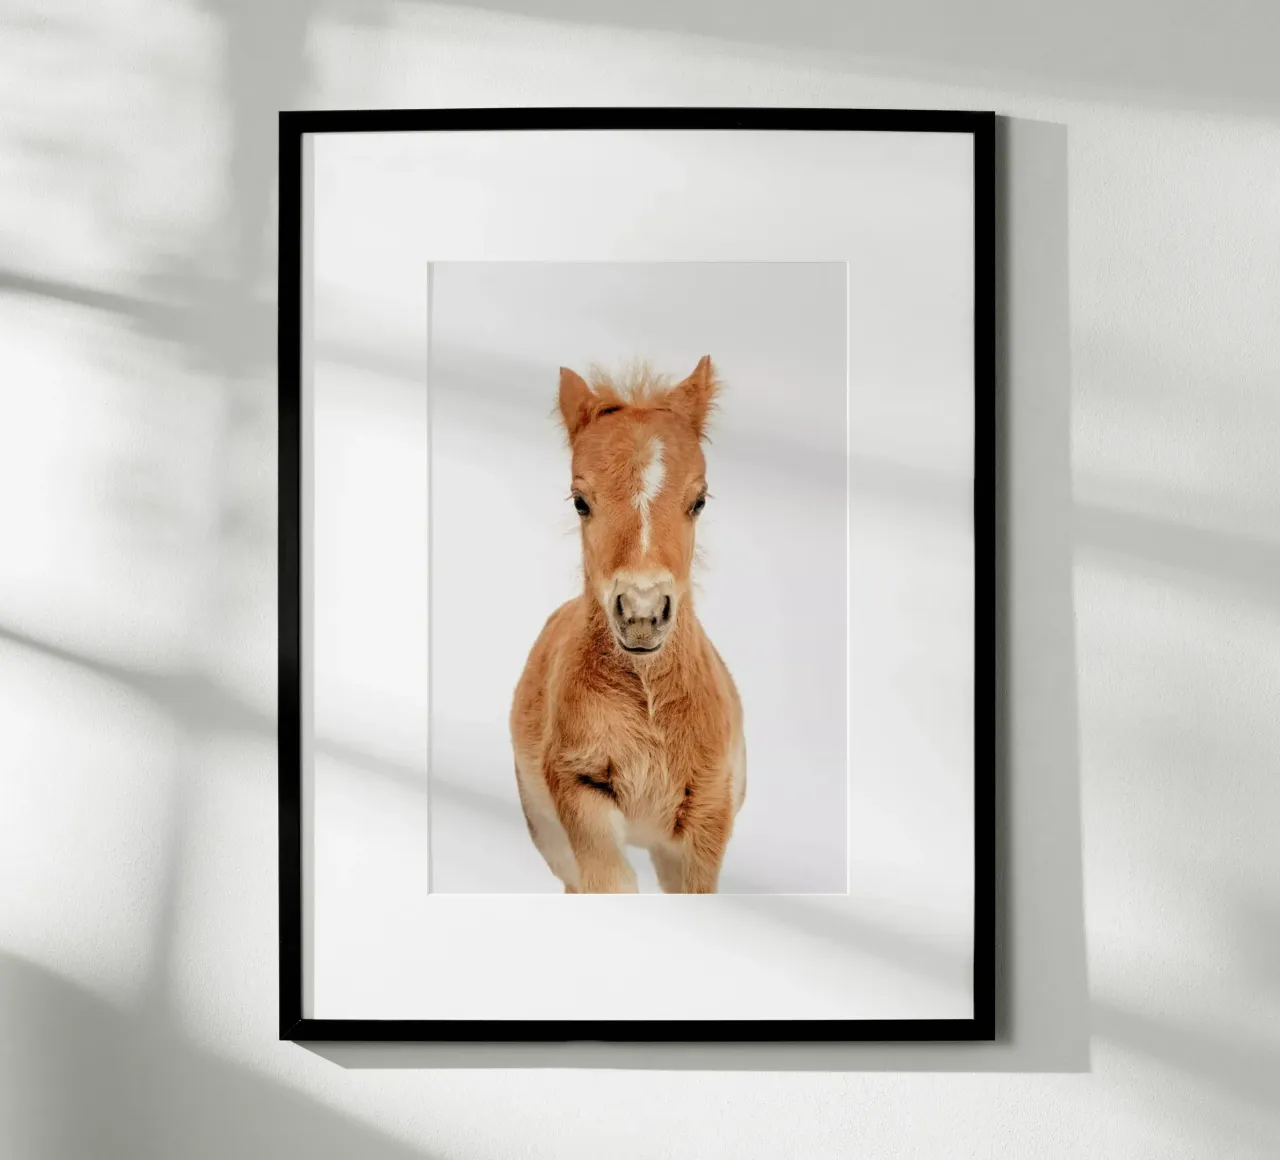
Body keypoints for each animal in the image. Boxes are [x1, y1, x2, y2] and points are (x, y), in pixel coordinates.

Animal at [510, 356, 746, 893]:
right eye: (580, 500)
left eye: (699, 500)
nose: (641, 613)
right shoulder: (579, 791)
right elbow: (609, 882)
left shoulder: (708, 816)